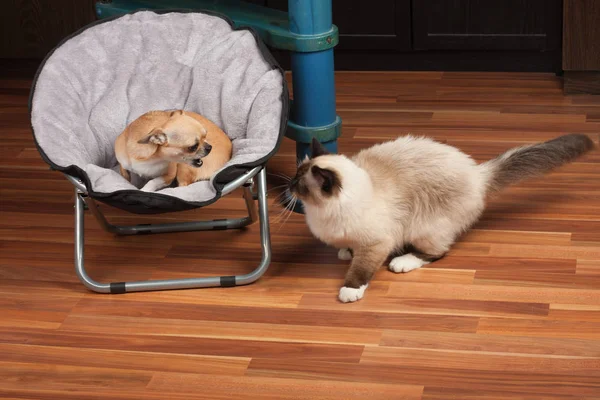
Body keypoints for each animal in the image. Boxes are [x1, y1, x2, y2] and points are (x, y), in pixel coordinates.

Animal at [290, 134, 596, 304]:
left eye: (300, 184)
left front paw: (349, 290)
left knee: (436, 253)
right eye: (295, 175)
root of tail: (478, 174)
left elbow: (361, 270)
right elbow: (349, 249)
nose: (288, 186)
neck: (322, 213)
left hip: (424, 228)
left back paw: (403, 262)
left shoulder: (377, 243)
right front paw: (345, 251)